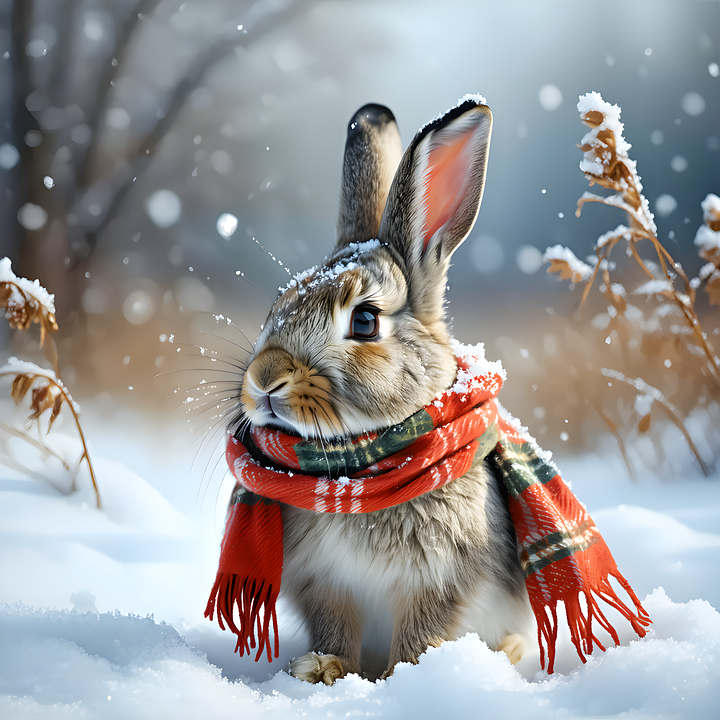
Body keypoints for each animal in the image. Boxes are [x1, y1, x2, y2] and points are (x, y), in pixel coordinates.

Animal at [233, 98, 535, 685]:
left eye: (366, 321)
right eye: (277, 304)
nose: (263, 379)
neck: (356, 467)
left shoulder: (440, 581)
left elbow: (422, 632)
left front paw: (408, 675)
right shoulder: (326, 583)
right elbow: (336, 626)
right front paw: (324, 669)